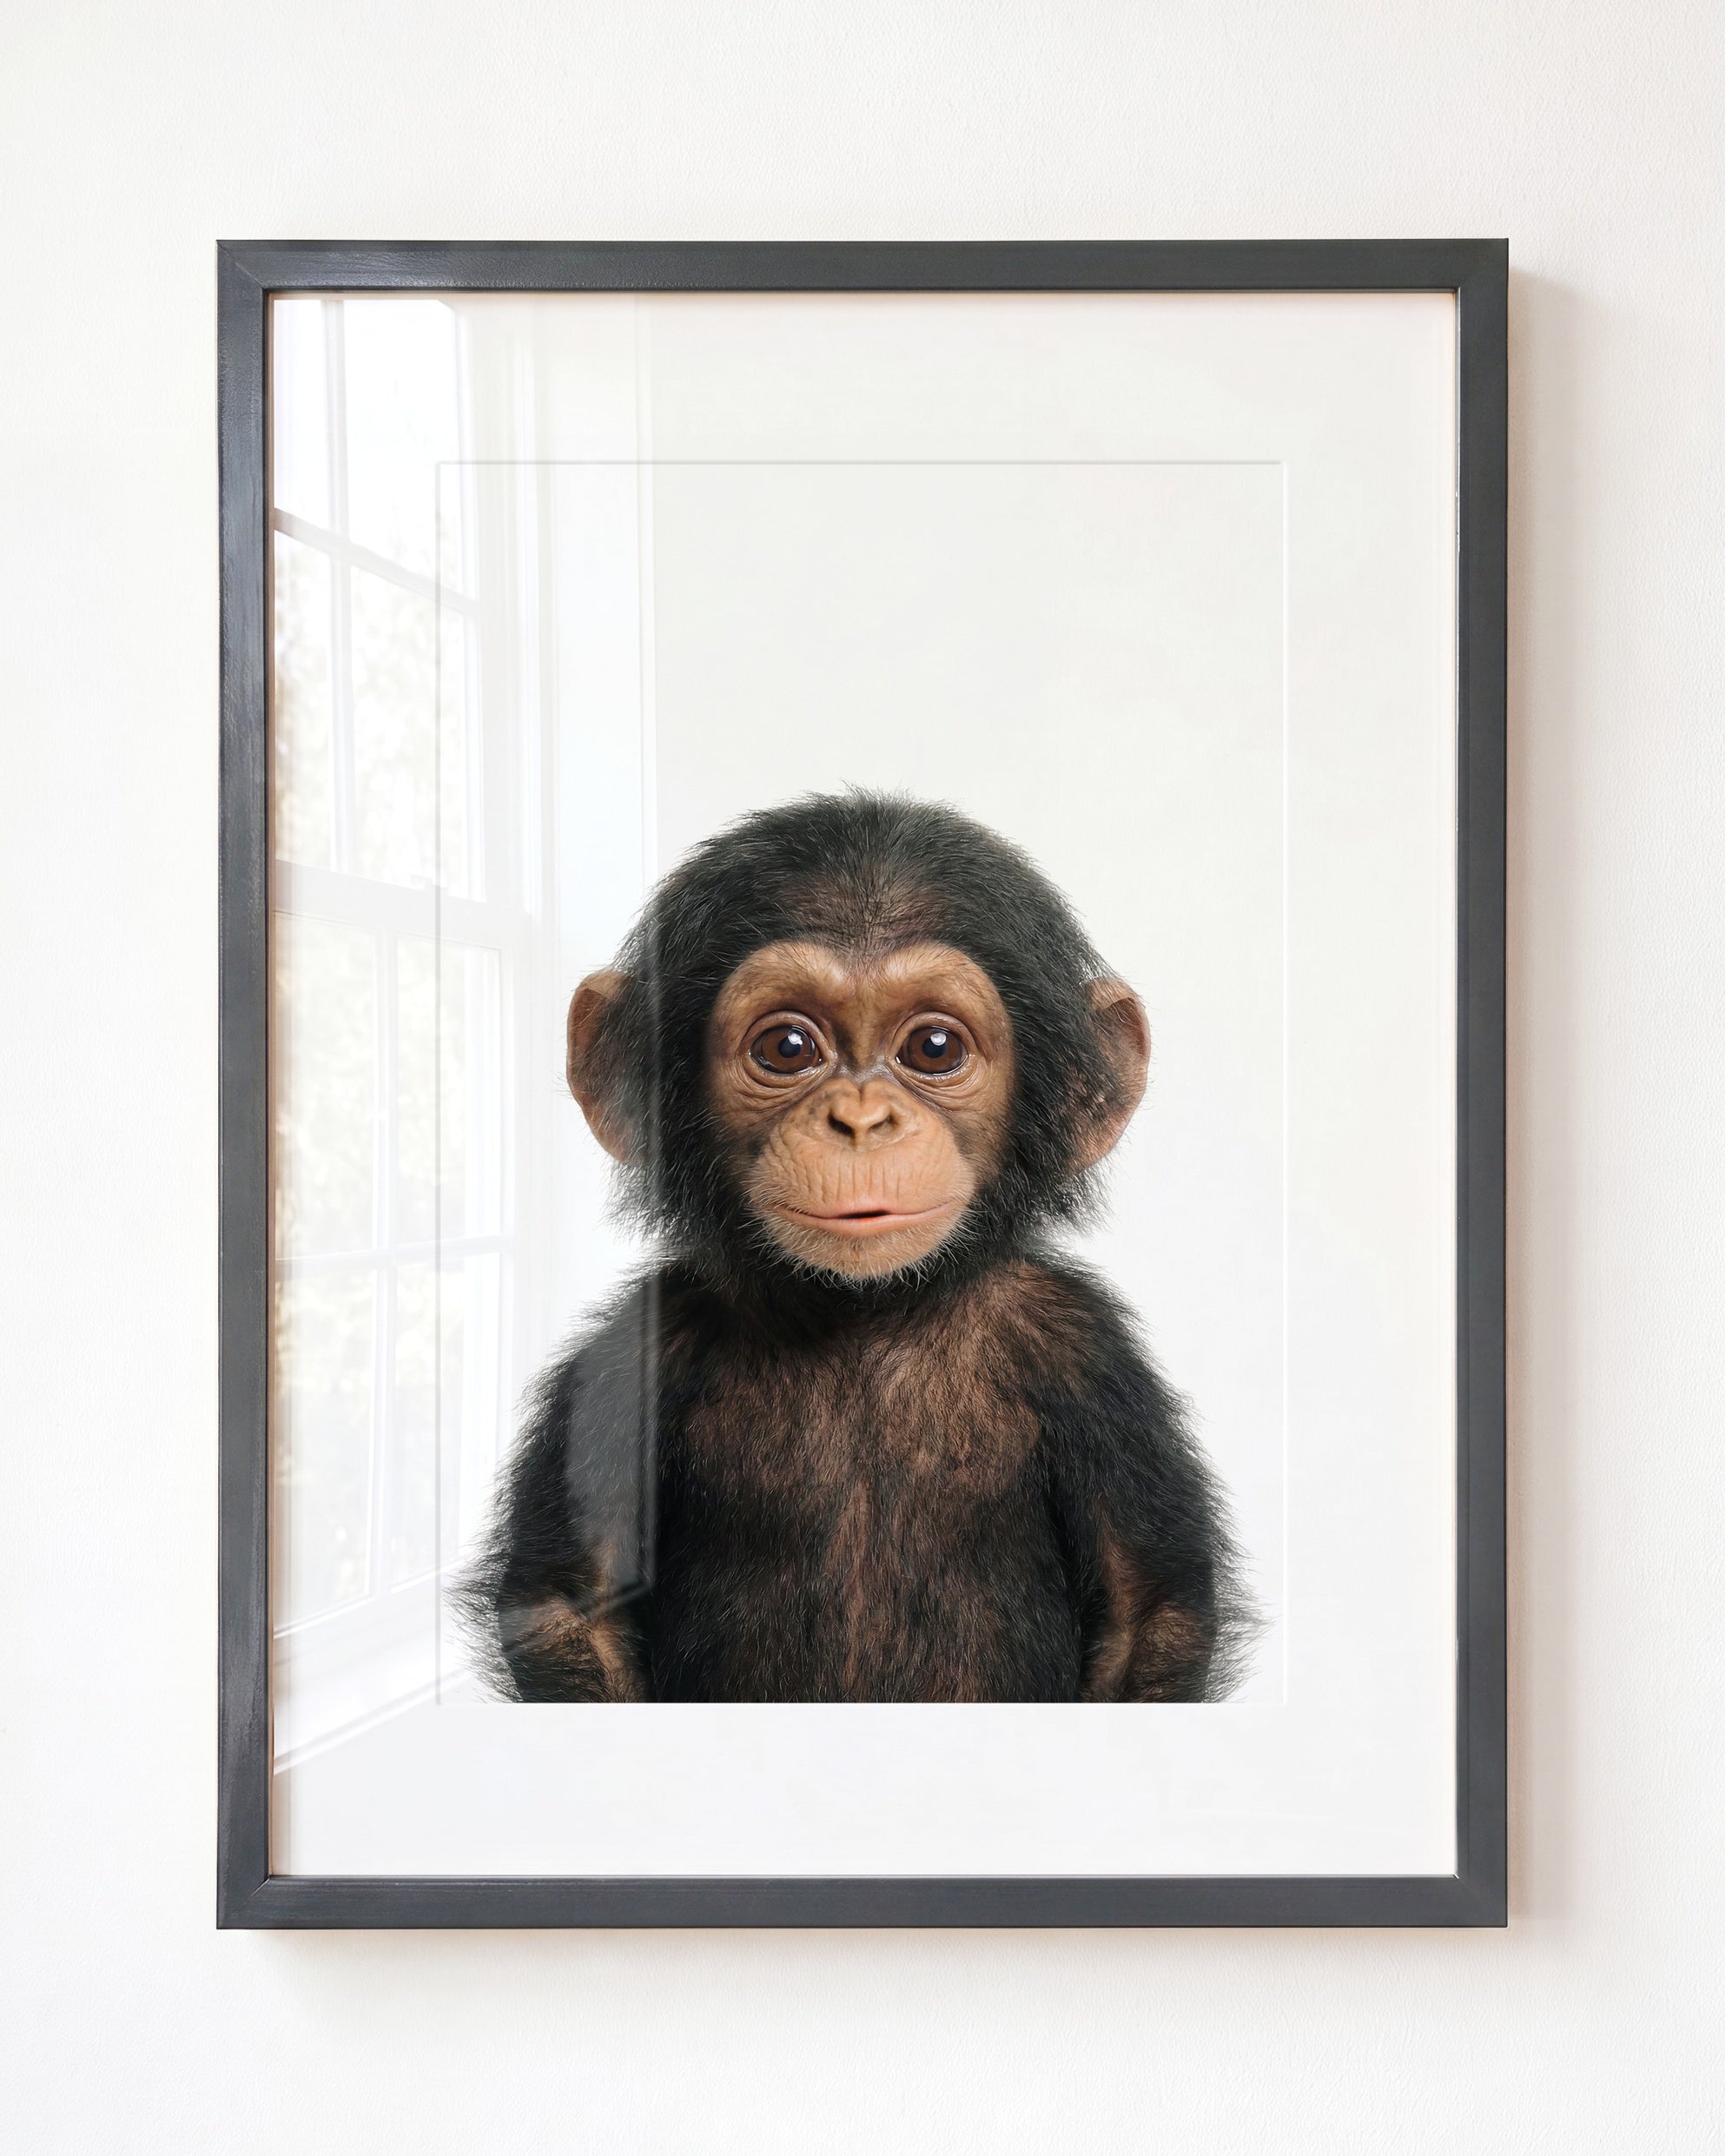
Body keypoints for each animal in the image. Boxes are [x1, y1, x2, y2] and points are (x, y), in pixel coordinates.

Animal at [458, 792, 1254, 1703]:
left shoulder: (1086, 1353)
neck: (865, 1313)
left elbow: (1147, 1611)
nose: (862, 1120)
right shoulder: (634, 1353)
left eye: (934, 1048)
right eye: (787, 1047)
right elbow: (570, 1605)